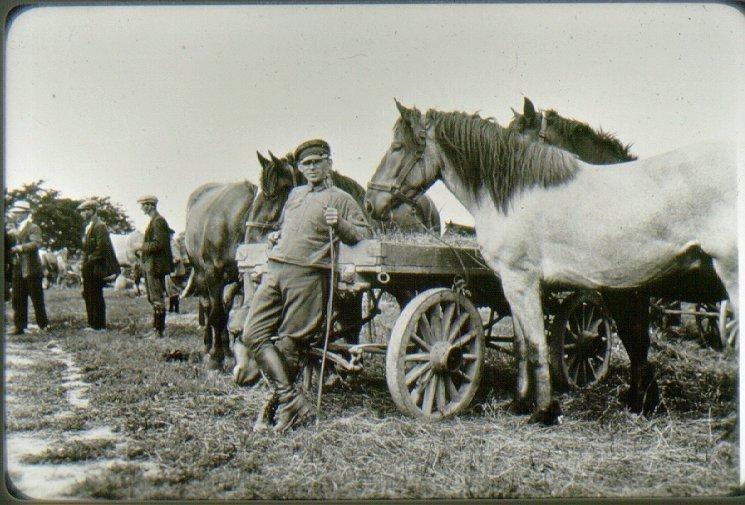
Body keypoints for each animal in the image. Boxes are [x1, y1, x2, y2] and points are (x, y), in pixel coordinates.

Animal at [183, 180, 258, 370]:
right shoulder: (212, 273)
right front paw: (216, 357)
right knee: (207, 306)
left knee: (223, 307)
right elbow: (216, 314)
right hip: (200, 273)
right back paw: (208, 346)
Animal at [365, 100, 737, 424]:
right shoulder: (515, 285)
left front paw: (544, 411)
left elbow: (538, 346)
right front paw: (519, 402)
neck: (517, 194)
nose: (370, 203)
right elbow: (522, 346)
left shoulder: (526, 281)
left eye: (397, 147)